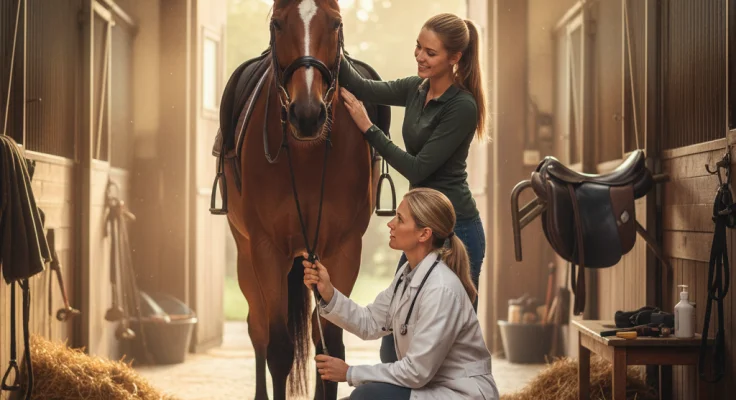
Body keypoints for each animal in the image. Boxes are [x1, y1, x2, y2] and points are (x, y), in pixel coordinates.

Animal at [210, 1, 392, 399]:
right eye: (277, 24)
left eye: (336, 23)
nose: (307, 114)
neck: (307, 154)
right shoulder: (267, 249)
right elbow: (279, 349)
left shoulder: (342, 250)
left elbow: (330, 344)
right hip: (246, 255)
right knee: (258, 329)